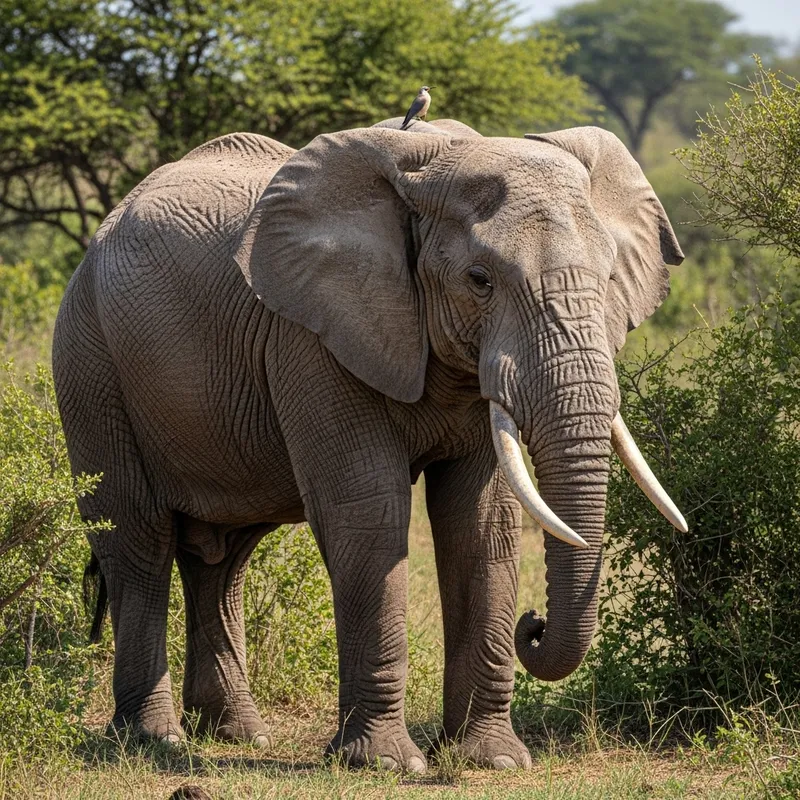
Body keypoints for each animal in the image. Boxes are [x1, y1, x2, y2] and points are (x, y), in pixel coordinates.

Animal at [53, 114, 687, 771]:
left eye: (609, 279)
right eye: (479, 281)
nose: (532, 623)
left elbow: (481, 519)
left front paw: (491, 761)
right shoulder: (311, 338)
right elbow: (368, 511)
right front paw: (385, 764)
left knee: (221, 558)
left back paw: (238, 735)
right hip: (89, 358)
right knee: (138, 540)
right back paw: (156, 738)